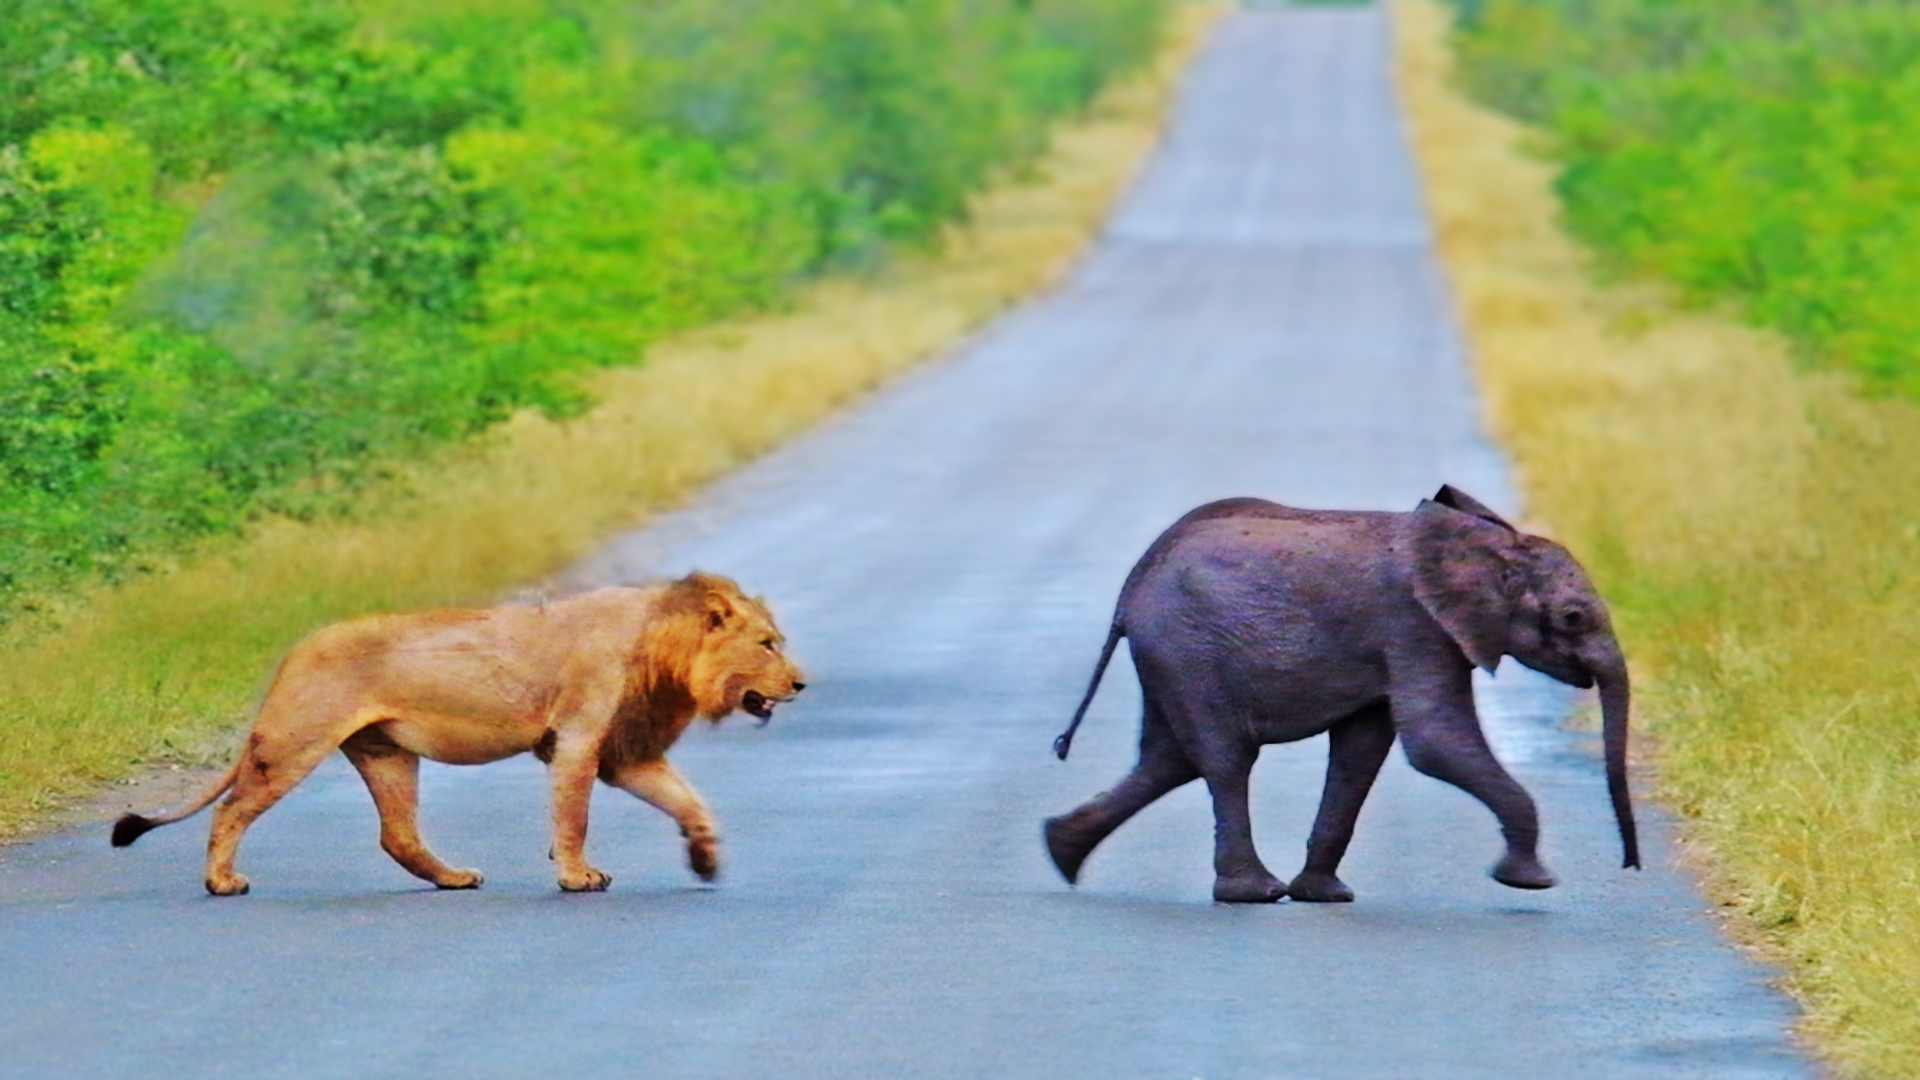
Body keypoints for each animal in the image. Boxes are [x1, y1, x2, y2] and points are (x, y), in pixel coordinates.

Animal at [112, 568, 802, 895]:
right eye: (767, 644)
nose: (800, 684)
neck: (665, 649)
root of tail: (293, 653)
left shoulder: (625, 754)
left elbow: (689, 802)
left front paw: (704, 858)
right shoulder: (579, 740)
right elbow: (573, 816)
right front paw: (576, 876)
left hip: (386, 753)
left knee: (397, 835)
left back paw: (452, 878)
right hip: (291, 742)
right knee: (230, 809)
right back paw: (221, 882)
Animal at [1052, 486, 1635, 899]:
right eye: (1573, 617)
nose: (1632, 865)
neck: (1489, 547)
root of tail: (1130, 591)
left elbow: (1362, 751)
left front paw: (1324, 896)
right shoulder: (1415, 626)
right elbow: (1433, 741)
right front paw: (1530, 883)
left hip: (1171, 657)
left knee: (1168, 760)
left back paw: (1060, 852)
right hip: (1187, 648)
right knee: (1224, 759)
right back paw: (1255, 893)